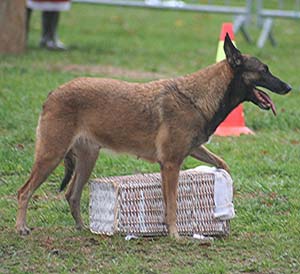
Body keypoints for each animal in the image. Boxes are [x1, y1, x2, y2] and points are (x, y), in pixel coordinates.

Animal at [15, 34, 290, 237]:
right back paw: (21, 227)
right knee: (24, 192)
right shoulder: (170, 164)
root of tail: (53, 93)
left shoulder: (189, 151)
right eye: (264, 70)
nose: (288, 87)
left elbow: (222, 164)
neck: (197, 97)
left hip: (87, 159)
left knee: (72, 194)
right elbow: (172, 205)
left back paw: (84, 228)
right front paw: (175, 236)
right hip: (51, 156)